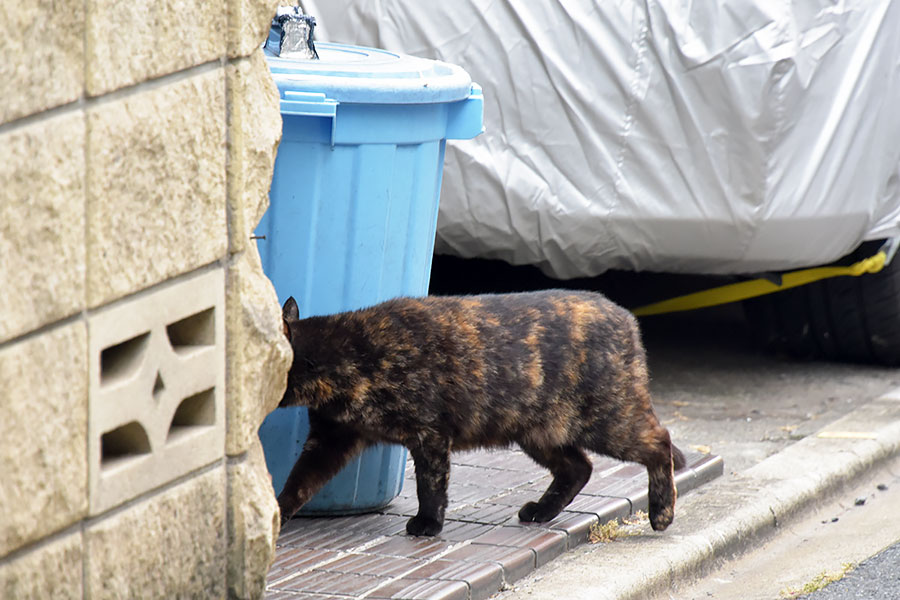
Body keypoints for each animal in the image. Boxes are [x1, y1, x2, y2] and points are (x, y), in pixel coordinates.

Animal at [278, 290, 684, 536]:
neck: (345, 354)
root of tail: (625, 316)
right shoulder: (330, 439)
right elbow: (297, 484)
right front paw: (274, 517)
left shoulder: (430, 435)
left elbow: (430, 483)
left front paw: (428, 524)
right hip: (539, 434)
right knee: (578, 467)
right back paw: (541, 511)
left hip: (607, 420)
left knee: (660, 441)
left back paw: (662, 512)